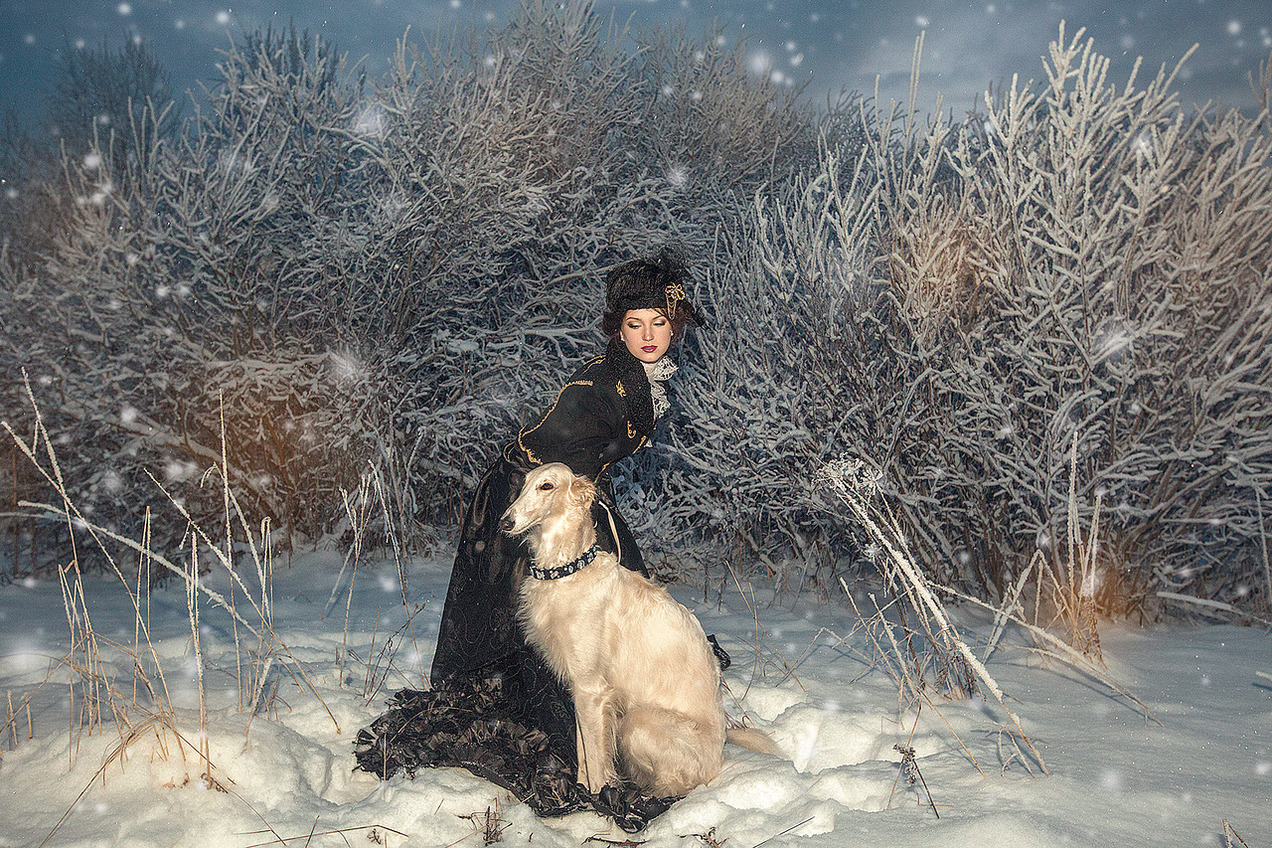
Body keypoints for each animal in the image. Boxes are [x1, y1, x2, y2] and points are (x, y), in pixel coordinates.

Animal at [500, 462, 776, 797]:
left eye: (547, 486)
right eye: (523, 484)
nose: (504, 522)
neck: (567, 571)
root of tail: (720, 752)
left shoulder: (591, 689)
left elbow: (596, 762)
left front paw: (599, 798)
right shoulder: (580, 687)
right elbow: (583, 754)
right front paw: (582, 791)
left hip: (638, 721)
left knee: (680, 783)